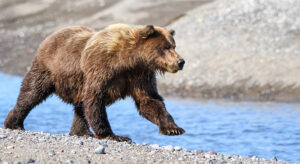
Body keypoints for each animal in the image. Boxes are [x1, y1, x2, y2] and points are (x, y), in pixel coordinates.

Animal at [4, 23, 185, 142]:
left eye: (173, 45)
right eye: (165, 47)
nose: (181, 61)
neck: (130, 61)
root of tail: (50, 36)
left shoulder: (140, 76)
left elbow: (149, 100)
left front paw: (173, 128)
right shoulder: (102, 67)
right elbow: (94, 98)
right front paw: (114, 135)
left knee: (80, 106)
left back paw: (81, 131)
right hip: (48, 70)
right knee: (31, 93)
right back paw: (14, 122)